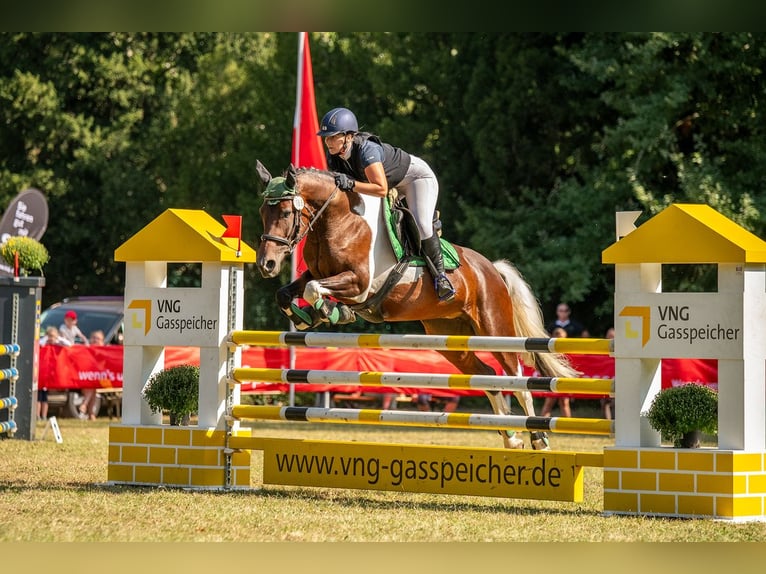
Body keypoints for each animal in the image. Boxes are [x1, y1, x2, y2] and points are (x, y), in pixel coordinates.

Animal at [255, 162, 580, 450]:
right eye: (262, 212)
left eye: (286, 212)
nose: (266, 264)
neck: (339, 222)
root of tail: (491, 269)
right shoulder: (318, 274)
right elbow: (287, 292)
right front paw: (305, 317)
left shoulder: (359, 284)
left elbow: (314, 290)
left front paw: (332, 312)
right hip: (450, 337)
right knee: (487, 372)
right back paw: (510, 438)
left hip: (495, 329)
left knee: (517, 377)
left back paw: (538, 437)